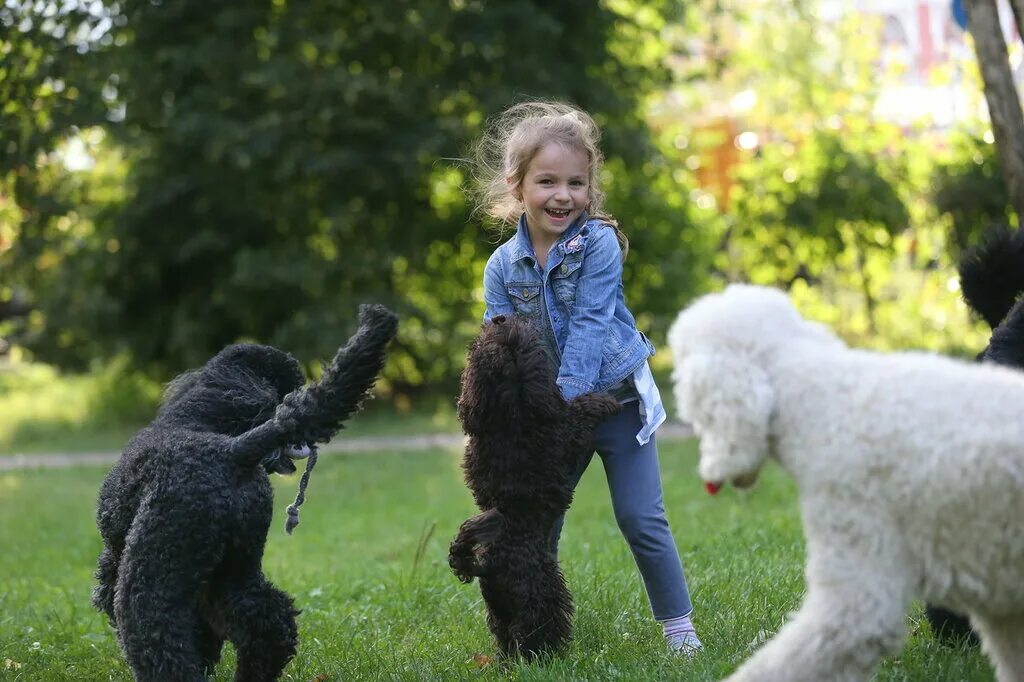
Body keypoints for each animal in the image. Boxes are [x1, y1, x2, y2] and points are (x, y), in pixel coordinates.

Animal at [93, 303, 395, 679]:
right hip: (236, 565)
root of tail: (233, 451)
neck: (197, 420)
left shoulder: (115, 558)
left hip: (155, 568)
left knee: (158, 632)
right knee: (268, 622)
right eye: (286, 393)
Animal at [450, 315, 622, 659]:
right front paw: (602, 401)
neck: (511, 415)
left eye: (485, 349)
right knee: (534, 637)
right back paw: (550, 657)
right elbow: (580, 410)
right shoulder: (566, 434)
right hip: (546, 597)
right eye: (518, 344)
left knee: (505, 637)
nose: (500, 318)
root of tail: (487, 565)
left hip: (498, 608)